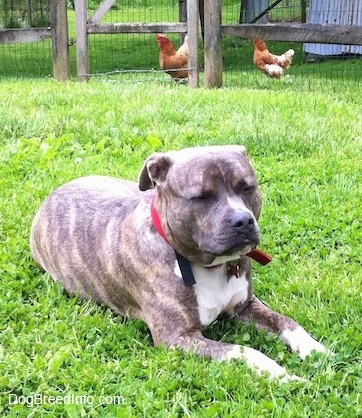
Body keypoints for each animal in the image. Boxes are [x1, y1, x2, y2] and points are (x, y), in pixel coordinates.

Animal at [30, 145, 328, 382]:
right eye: (202, 197)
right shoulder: (177, 337)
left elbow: (287, 321)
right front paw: (282, 375)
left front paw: (315, 349)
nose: (243, 220)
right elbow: (245, 351)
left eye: (247, 188)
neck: (205, 265)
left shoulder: (246, 305)